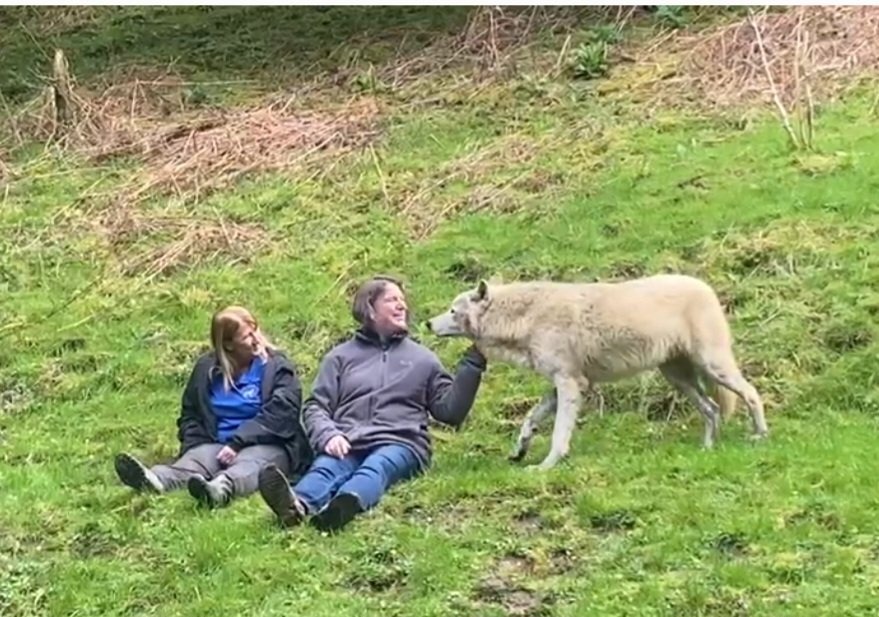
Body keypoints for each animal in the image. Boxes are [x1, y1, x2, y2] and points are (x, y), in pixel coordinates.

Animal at [426, 274, 768, 470]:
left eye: (452, 310)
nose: (428, 323)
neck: (527, 317)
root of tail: (706, 287)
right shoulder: (564, 384)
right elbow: (531, 419)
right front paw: (519, 450)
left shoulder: (569, 383)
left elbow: (558, 435)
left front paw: (545, 466)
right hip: (678, 378)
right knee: (711, 409)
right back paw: (707, 449)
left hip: (713, 366)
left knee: (751, 394)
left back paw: (760, 435)